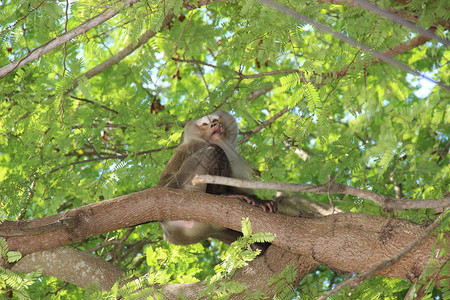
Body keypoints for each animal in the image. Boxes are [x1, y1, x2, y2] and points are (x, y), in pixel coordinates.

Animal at [158, 110, 278, 246]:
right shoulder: (196, 144)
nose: (214, 125)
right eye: (205, 124)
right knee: (215, 150)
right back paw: (221, 195)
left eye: (215, 120)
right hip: (179, 189)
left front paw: (259, 200)